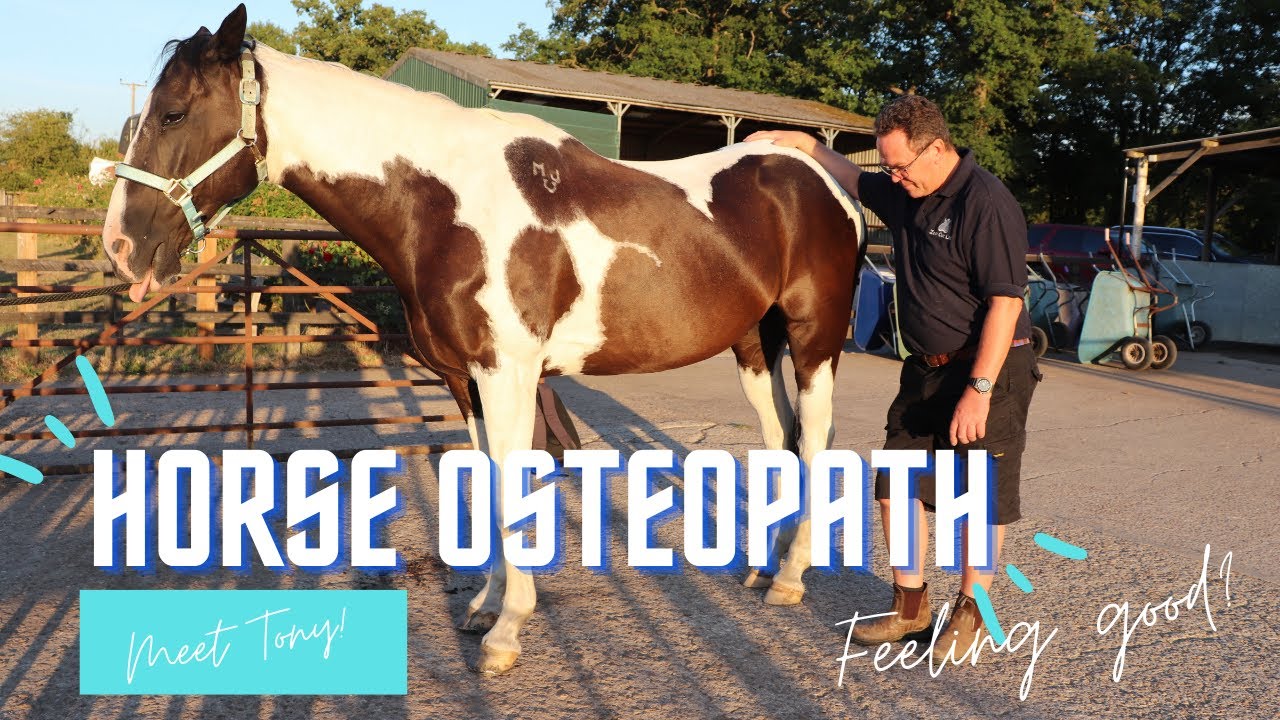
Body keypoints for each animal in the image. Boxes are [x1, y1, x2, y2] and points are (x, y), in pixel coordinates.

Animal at [102, 4, 867, 674]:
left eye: (175, 114)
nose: (120, 246)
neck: (447, 206)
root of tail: (824, 180)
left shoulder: (507, 372)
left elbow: (509, 488)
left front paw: (506, 632)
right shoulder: (464, 379)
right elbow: (489, 483)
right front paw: (485, 606)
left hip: (816, 341)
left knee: (816, 440)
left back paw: (791, 578)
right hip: (754, 345)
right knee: (781, 439)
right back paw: (766, 564)